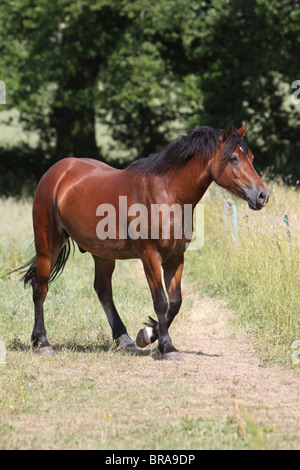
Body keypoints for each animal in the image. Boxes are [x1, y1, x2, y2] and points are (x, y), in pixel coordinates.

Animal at [15, 121, 270, 360]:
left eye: (251, 157)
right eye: (234, 158)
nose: (262, 195)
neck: (166, 194)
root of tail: (57, 172)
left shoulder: (175, 258)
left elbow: (175, 302)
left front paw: (146, 335)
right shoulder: (150, 257)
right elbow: (161, 301)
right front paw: (167, 348)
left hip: (102, 253)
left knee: (103, 290)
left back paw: (124, 339)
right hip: (48, 245)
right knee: (40, 287)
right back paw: (42, 342)